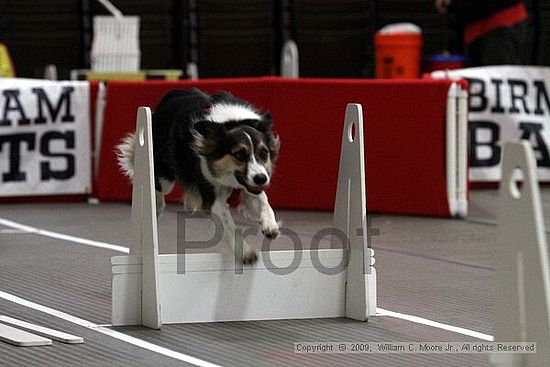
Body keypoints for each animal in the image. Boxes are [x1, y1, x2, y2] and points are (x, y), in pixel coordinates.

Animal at [116, 87, 280, 264]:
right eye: (240, 155)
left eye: (263, 153)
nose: (262, 179)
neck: (231, 123)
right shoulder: (210, 193)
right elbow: (228, 222)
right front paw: (246, 251)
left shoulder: (250, 183)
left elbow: (263, 199)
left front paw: (270, 225)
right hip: (164, 172)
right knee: (158, 187)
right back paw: (159, 207)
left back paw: (190, 203)